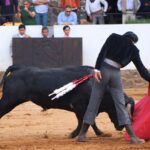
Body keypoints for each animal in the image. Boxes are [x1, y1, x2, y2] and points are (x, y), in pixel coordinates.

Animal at [0, 65, 134, 138]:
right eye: (121, 110)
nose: (122, 127)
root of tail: (19, 68)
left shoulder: (86, 108)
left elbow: (89, 121)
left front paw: (100, 133)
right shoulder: (80, 107)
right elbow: (84, 121)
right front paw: (74, 134)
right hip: (9, 100)